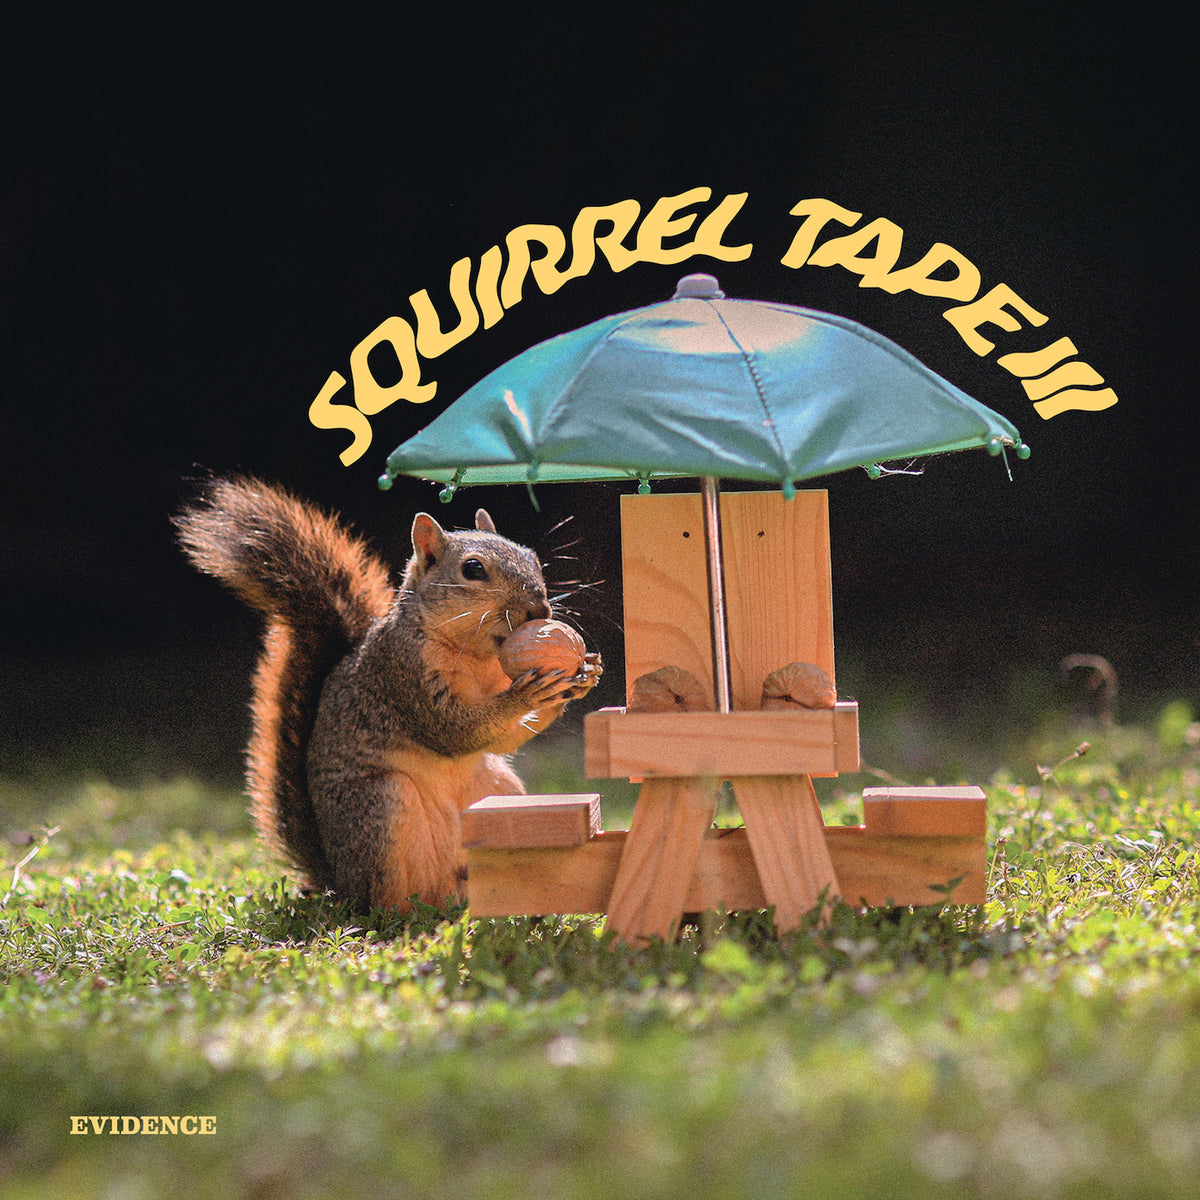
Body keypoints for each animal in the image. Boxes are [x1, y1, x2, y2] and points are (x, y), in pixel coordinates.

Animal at [175, 476, 601, 913]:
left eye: (532, 558)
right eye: (473, 569)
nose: (539, 609)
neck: (474, 654)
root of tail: (338, 882)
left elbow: (502, 738)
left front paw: (583, 676)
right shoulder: (402, 674)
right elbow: (453, 730)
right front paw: (526, 696)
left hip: (499, 793)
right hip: (381, 807)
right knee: (384, 899)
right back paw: (407, 914)